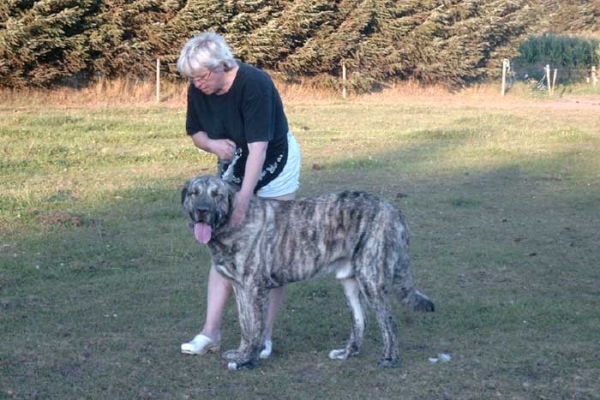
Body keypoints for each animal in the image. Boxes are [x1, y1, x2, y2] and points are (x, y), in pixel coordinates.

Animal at [180, 177, 434, 370]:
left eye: (217, 195)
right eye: (194, 193)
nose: (202, 211)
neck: (234, 222)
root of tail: (394, 210)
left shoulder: (255, 288)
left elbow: (255, 327)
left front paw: (248, 361)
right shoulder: (240, 288)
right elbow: (245, 326)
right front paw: (241, 353)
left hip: (371, 279)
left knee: (389, 322)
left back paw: (390, 359)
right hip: (351, 283)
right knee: (360, 321)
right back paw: (346, 353)